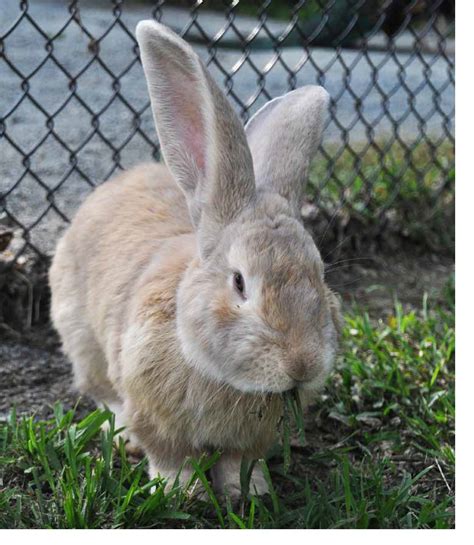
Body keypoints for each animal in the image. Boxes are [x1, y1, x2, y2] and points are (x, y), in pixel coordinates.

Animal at [49, 20, 340, 498]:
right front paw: (181, 491)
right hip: (80, 335)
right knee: (100, 390)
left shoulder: (251, 440)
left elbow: (241, 462)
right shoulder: (156, 418)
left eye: (320, 274)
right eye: (239, 282)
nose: (302, 364)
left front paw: (250, 491)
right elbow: (170, 457)